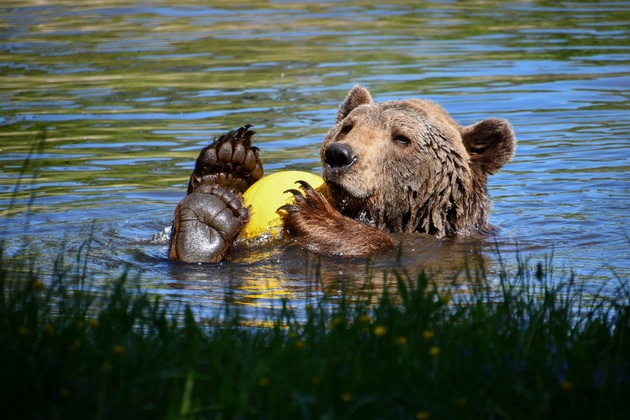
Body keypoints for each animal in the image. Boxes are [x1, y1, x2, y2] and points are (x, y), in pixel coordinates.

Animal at [169, 85, 520, 262]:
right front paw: (228, 164)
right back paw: (210, 209)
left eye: (401, 138)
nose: (338, 154)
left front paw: (314, 212)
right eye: (349, 127)